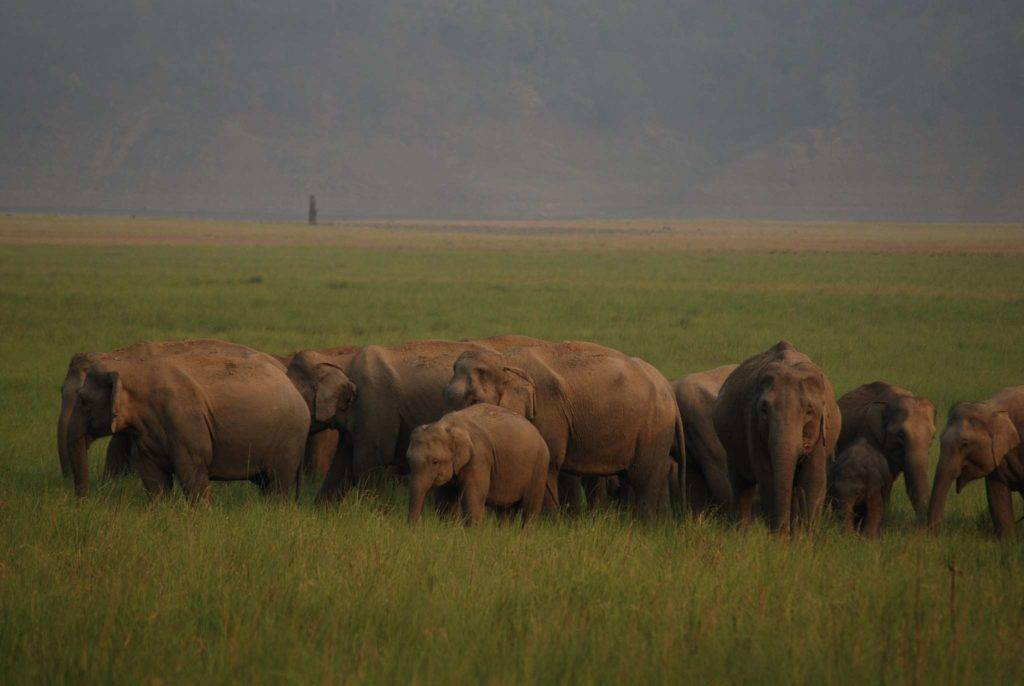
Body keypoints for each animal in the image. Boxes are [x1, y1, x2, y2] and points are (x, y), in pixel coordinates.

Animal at [64, 339, 310, 502]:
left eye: (83, 401)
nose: (82, 502)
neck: (131, 367)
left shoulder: (184, 419)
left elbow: (191, 468)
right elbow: (152, 475)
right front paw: (162, 512)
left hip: (290, 438)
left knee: (277, 482)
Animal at [286, 335, 546, 504]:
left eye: (297, 393)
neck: (341, 360)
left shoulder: (375, 406)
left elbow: (368, 463)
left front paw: (373, 513)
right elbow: (341, 466)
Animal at [407, 403, 551, 526]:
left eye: (435, 461)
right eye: (408, 459)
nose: (417, 525)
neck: (450, 426)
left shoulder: (479, 458)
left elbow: (473, 497)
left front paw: (471, 534)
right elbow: (446, 500)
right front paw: (445, 527)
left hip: (540, 466)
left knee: (530, 508)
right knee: (504, 510)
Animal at [442, 340, 685, 518]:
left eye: (474, 400)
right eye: (445, 395)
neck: (505, 360)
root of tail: (667, 388)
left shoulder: (548, 411)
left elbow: (549, 462)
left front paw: (548, 525)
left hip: (654, 428)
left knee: (644, 478)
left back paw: (644, 524)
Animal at [713, 341, 840, 535]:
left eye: (809, 411)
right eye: (764, 410)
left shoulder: (820, 432)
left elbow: (813, 479)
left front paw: (806, 538)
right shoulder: (753, 423)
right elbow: (767, 475)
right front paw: (779, 539)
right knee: (742, 484)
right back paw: (741, 533)